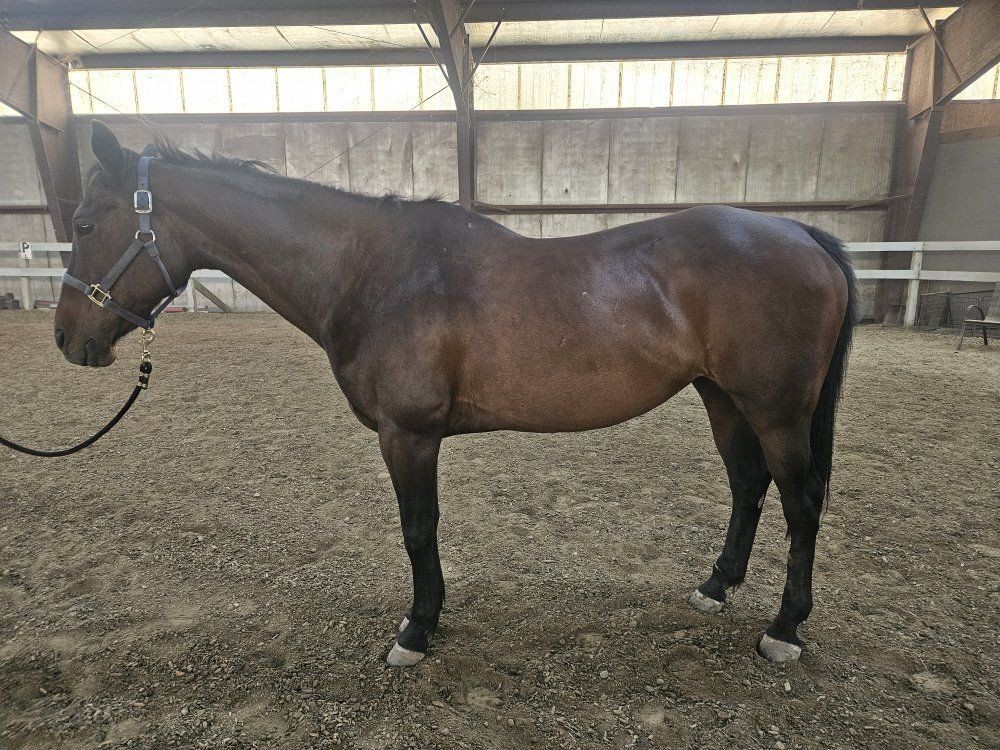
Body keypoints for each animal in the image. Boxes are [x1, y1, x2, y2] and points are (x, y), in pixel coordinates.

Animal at [53, 120, 856, 667]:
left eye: (86, 223)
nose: (67, 339)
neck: (371, 272)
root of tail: (802, 235)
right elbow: (423, 530)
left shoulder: (407, 433)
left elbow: (418, 529)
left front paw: (416, 629)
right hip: (723, 398)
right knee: (749, 485)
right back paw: (715, 587)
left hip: (777, 410)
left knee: (801, 501)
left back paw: (784, 628)